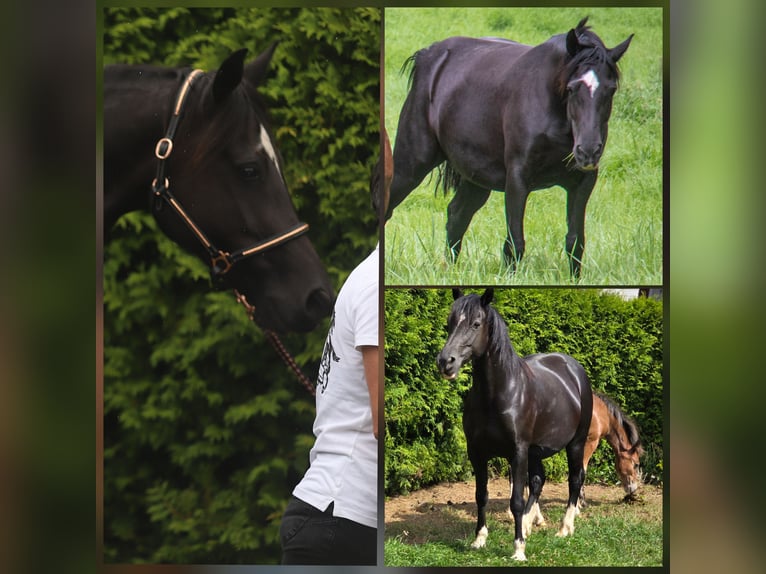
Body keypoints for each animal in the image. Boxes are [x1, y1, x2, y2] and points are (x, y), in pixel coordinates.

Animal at [387, 18, 633, 278]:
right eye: (572, 87)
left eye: (611, 89)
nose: (588, 151)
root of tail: (429, 55)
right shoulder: (517, 179)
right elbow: (515, 244)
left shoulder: (583, 182)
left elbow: (575, 242)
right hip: (411, 166)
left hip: (476, 178)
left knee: (457, 216)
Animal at [436, 288, 593, 561]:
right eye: (450, 322)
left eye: (476, 324)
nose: (446, 362)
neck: (498, 394)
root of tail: (574, 369)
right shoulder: (477, 452)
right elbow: (481, 496)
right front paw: (480, 539)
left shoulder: (517, 452)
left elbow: (516, 501)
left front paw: (519, 549)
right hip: (536, 451)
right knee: (539, 481)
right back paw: (530, 524)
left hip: (575, 443)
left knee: (575, 479)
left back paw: (564, 528)